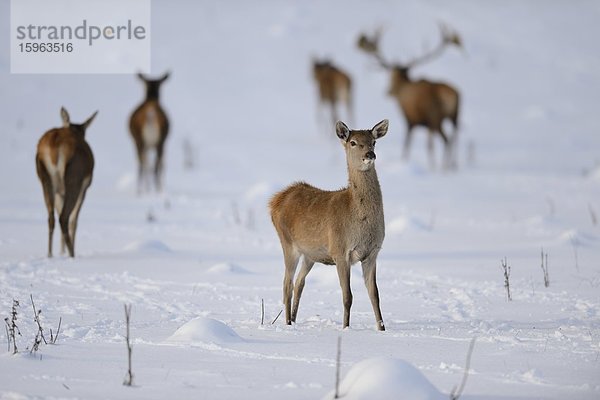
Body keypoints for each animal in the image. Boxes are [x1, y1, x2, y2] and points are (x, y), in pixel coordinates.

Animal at [36, 106, 97, 258]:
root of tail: (53, 146)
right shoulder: (85, 188)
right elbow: (74, 220)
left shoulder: (59, 191)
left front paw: (61, 251)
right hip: (74, 179)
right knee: (64, 218)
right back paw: (72, 254)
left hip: (44, 177)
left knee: (51, 217)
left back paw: (50, 254)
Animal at [268, 119, 390, 332]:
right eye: (353, 142)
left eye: (373, 141)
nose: (370, 155)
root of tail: (275, 201)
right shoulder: (340, 251)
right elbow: (347, 296)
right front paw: (346, 327)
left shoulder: (372, 253)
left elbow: (375, 295)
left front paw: (382, 329)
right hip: (287, 243)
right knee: (286, 284)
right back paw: (288, 323)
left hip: (310, 254)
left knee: (299, 282)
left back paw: (294, 319)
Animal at [358, 24, 462, 169]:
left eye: (391, 77)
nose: (388, 91)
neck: (403, 87)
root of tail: (450, 95)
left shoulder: (409, 119)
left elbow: (407, 143)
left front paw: (404, 159)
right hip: (454, 115)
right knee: (454, 136)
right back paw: (452, 165)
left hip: (433, 117)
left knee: (440, 141)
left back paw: (438, 166)